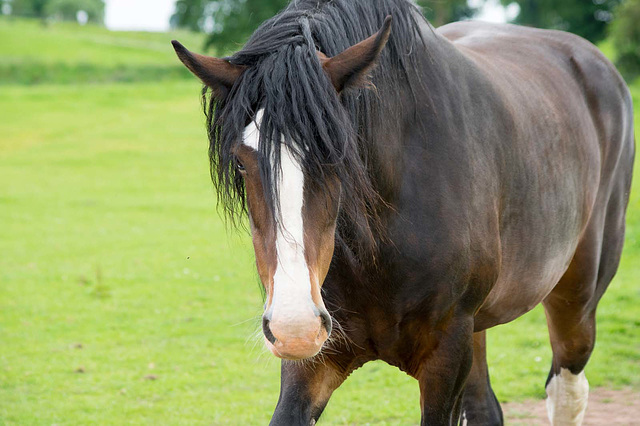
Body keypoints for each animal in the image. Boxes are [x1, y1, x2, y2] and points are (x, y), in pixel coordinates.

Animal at [171, 0, 636, 422]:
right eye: (240, 161)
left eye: (339, 154)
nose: (294, 327)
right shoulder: (314, 358)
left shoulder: (446, 355)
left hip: (576, 300)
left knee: (567, 391)